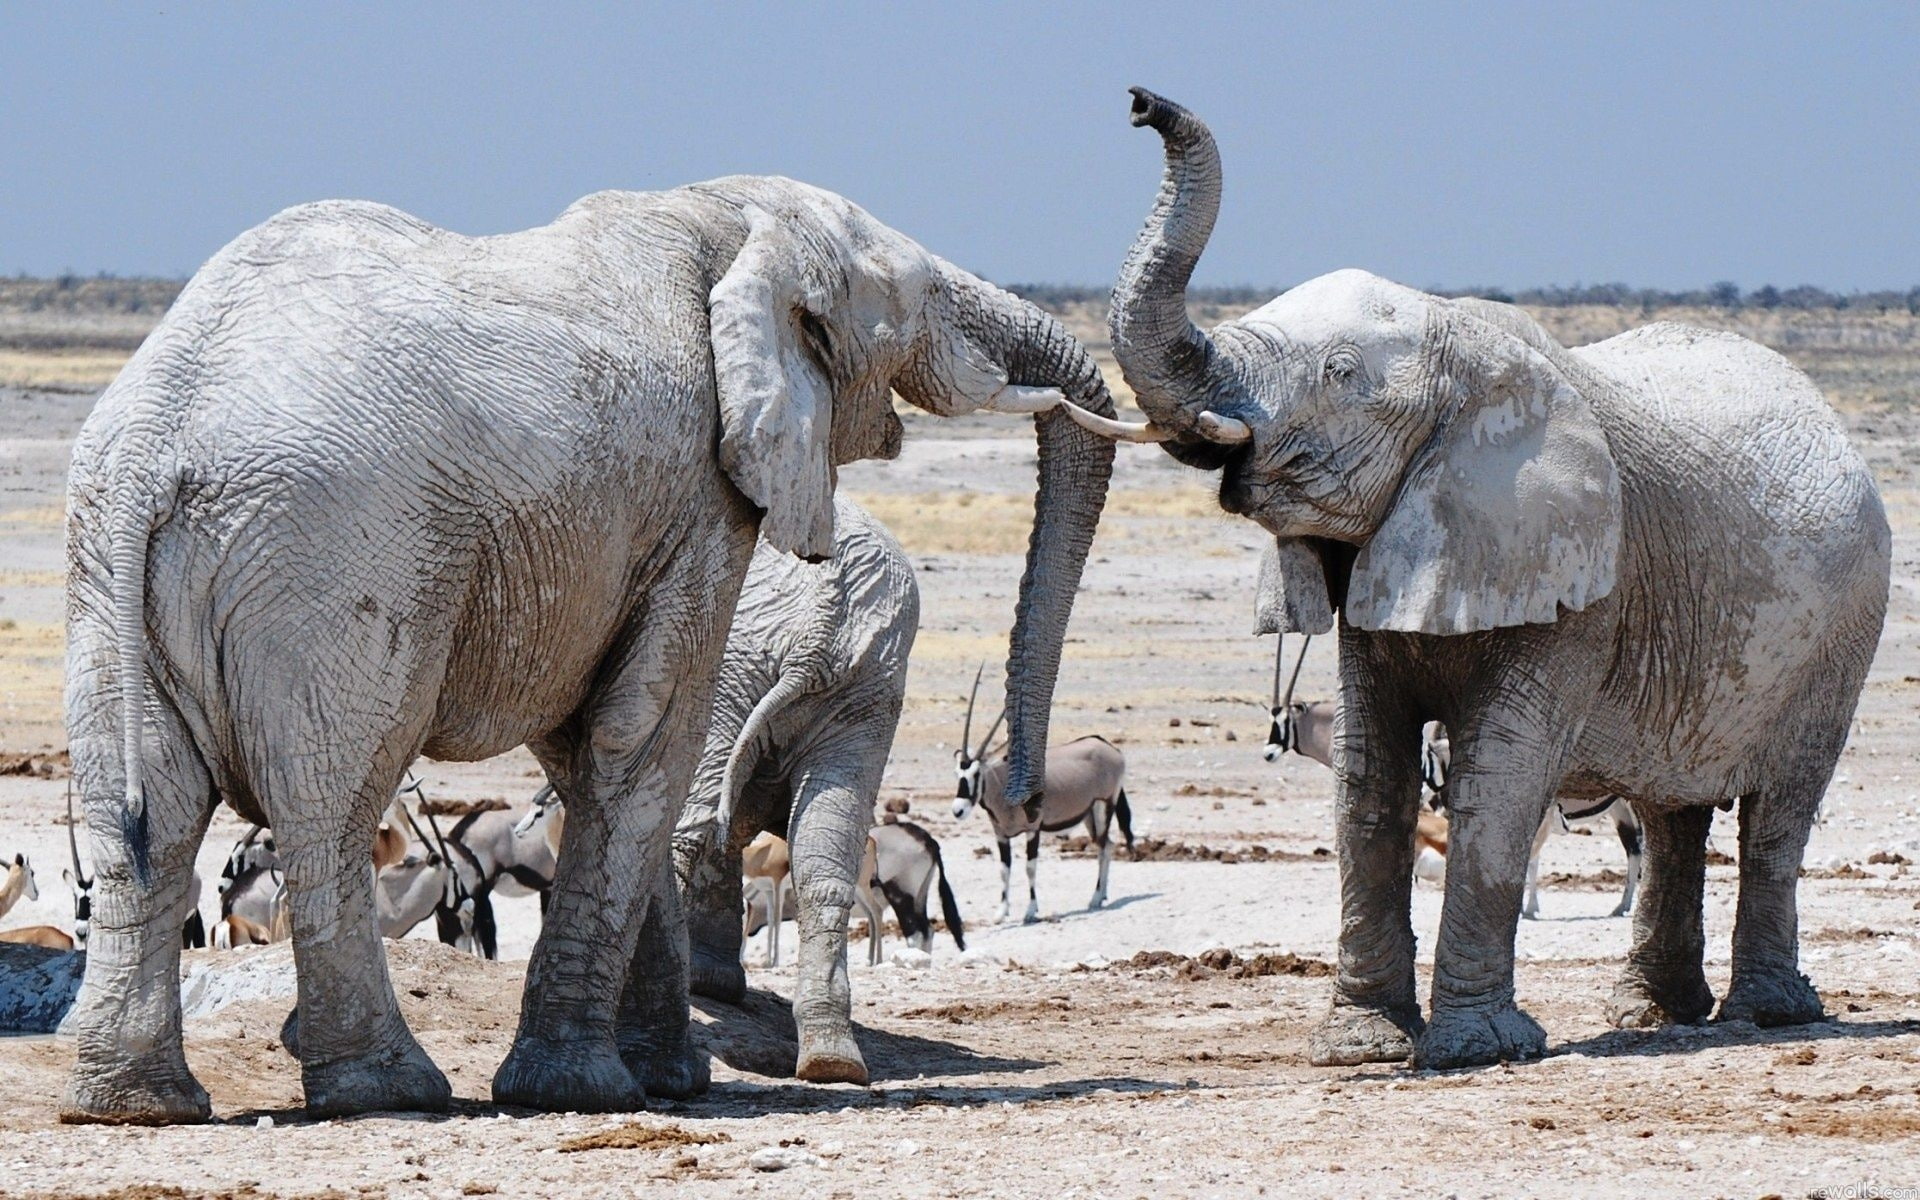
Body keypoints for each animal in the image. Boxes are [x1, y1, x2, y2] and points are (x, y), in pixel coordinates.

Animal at [674, 494, 916, 1085]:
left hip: (734, 655)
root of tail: (822, 623)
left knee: (686, 824)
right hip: (866, 688)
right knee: (823, 856)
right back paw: (832, 1060)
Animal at [1104, 89, 1890, 1070]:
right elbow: (1368, 776)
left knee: (1779, 809)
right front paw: (1362, 1050)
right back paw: (1652, 1016)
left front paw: (1477, 1048)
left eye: (1340, 374)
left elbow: (1503, 774)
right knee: (1672, 813)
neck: (1464, 345)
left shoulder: (1580, 580)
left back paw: (1769, 1015)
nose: (1140, 104)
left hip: (1844, 630)